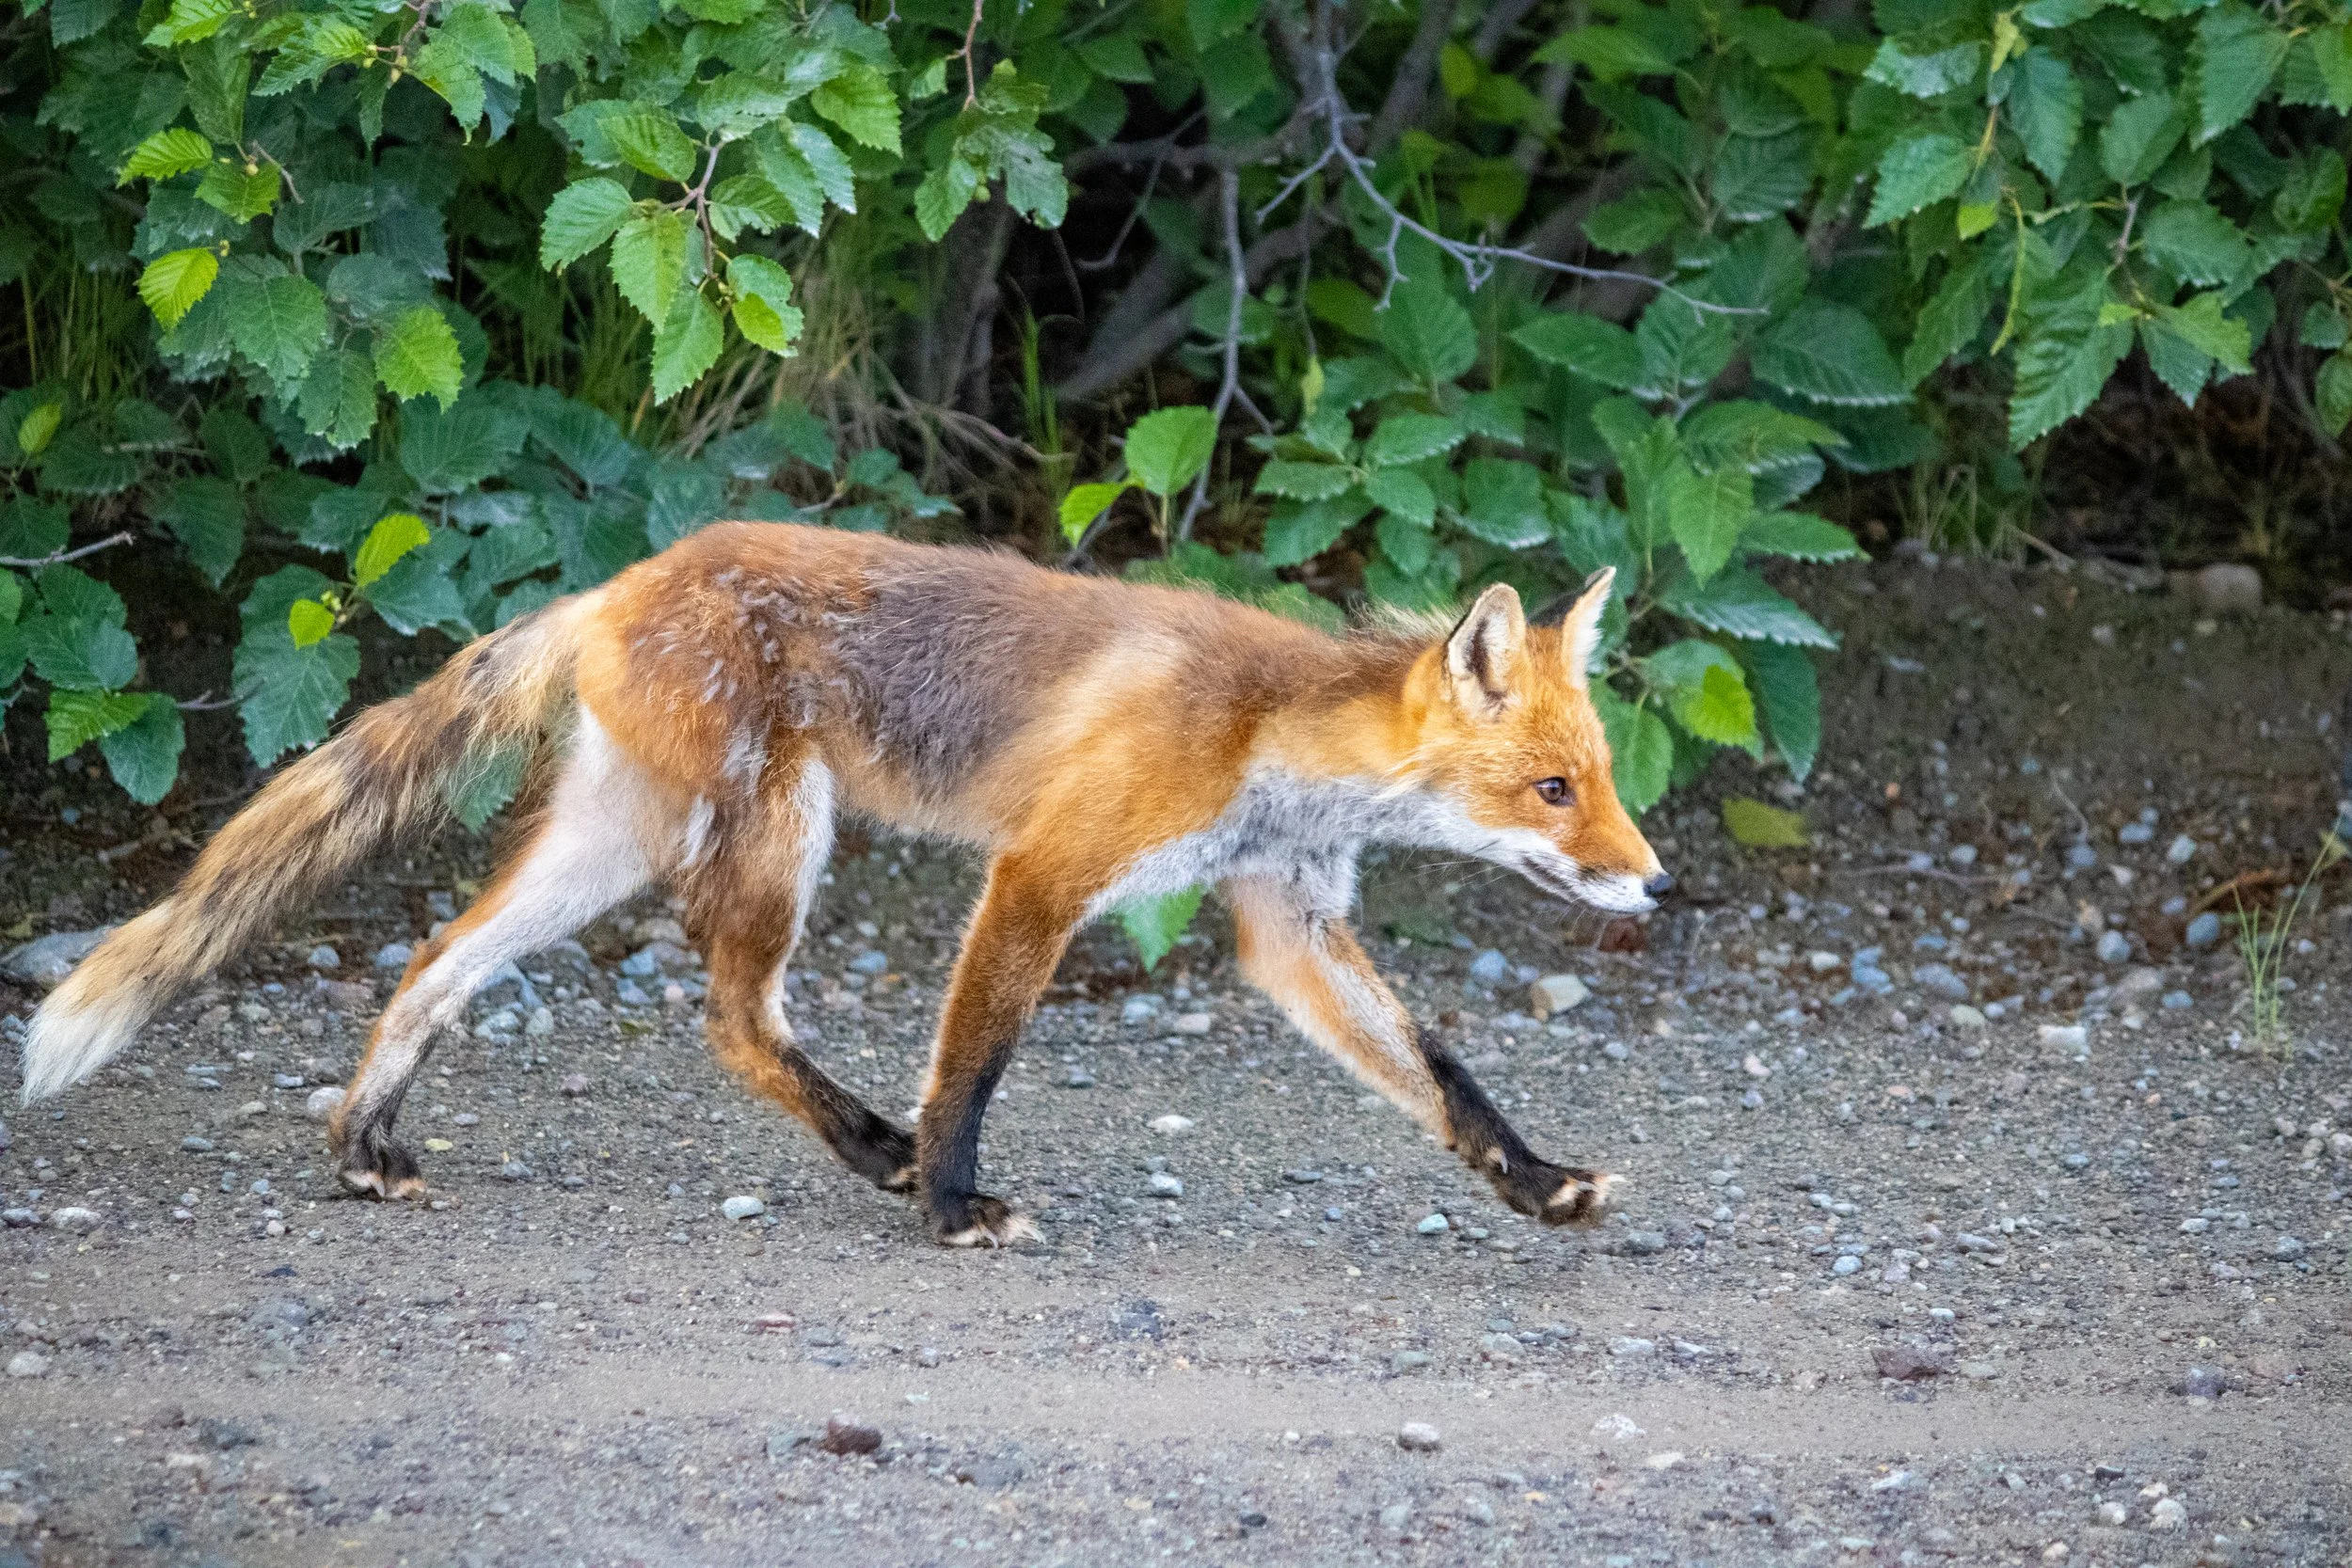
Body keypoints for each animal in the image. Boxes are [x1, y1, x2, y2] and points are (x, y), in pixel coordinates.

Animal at [19, 522, 1668, 1246]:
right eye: (1554, 790)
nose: (1654, 885)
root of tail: (616, 580)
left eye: (1605, 777)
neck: (1267, 734)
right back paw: (880, 1149)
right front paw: (950, 1198)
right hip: (777, 831)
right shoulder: (1045, 869)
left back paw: (362, 1145)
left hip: (611, 840)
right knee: (734, 1019)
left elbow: (1442, 1069)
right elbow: (976, 1059)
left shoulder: (1288, 917)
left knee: (435, 959)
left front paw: (1535, 1180)